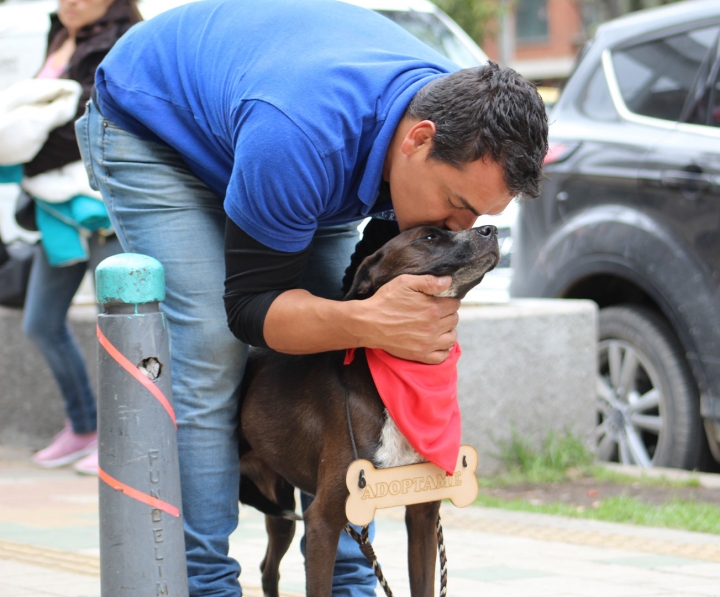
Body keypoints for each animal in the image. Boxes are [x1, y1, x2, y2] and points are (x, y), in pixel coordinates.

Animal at [239, 224, 498, 596]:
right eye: (429, 237)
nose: (491, 229)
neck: (407, 382)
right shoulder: (323, 520)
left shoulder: (423, 513)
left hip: (279, 503)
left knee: (267, 569)